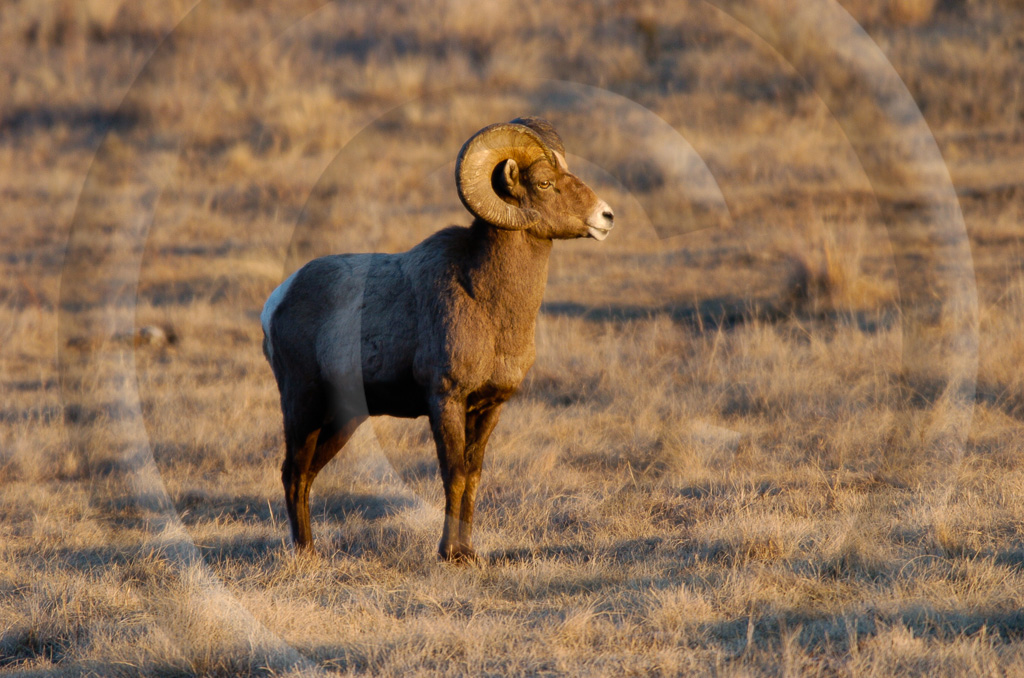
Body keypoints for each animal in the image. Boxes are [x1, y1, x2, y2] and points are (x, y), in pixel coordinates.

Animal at [264, 116, 614, 561]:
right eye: (545, 183)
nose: (606, 216)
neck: (486, 300)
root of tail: (278, 299)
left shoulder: (489, 407)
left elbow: (474, 475)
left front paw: (469, 552)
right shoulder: (445, 400)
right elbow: (454, 475)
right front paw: (450, 554)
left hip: (344, 419)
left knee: (307, 474)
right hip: (303, 404)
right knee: (293, 473)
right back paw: (305, 554)